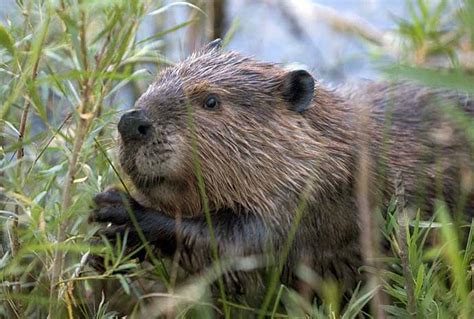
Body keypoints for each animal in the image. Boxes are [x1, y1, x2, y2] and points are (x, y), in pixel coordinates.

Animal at [90, 39, 474, 300]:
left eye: (210, 101)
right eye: (157, 79)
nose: (131, 122)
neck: (336, 143)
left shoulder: (318, 197)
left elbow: (237, 244)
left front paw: (120, 212)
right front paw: (104, 243)